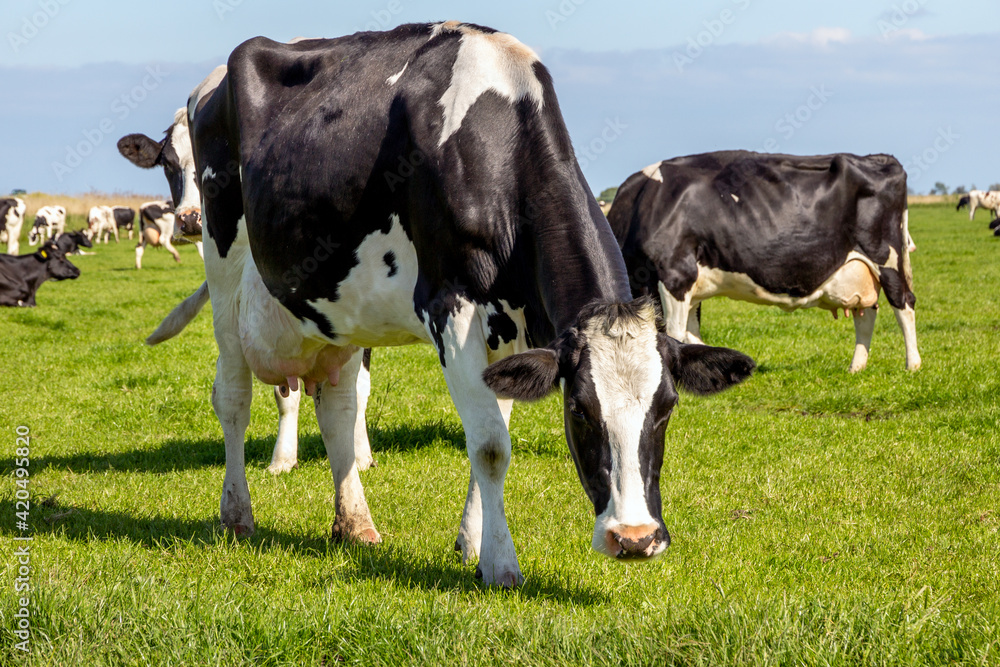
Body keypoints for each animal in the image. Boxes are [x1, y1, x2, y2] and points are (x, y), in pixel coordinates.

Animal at [180, 23, 752, 588]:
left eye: (667, 408)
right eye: (579, 410)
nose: (633, 539)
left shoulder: (512, 329)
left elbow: (494, 427)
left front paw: (472, 543)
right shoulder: (450, 307)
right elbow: (491, 445)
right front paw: (500, 564)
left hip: (336, 309)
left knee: (339, 408)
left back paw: (355, 524)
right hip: (223, 266)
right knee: (232, 397)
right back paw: (237, 514)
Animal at [600, 150, 920, 376]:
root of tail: (878, 157)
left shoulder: (676, 274)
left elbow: (675, 334)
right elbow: (690, 336)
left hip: (886, 257)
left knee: (903, 303)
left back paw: (912, 364)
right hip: (861, 271)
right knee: (866, 312)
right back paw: (856, 367)